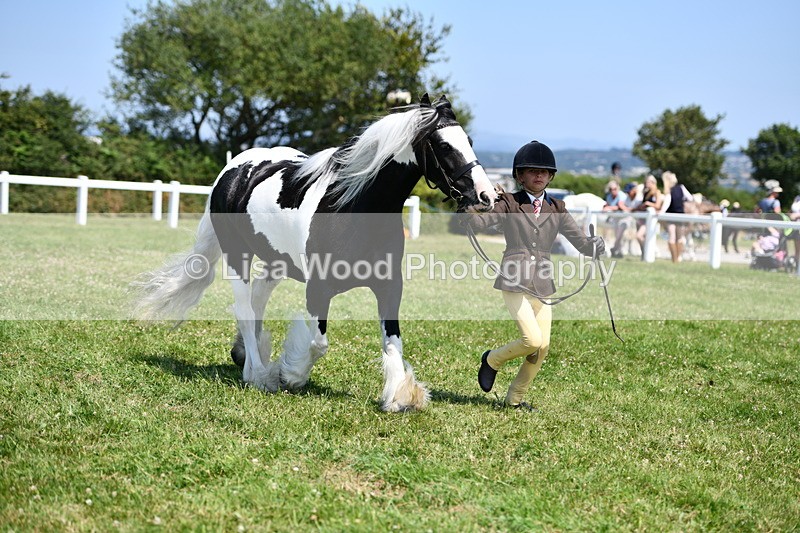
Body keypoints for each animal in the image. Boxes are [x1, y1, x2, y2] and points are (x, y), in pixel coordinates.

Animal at [133, 94, 497, 412]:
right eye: (444, 145)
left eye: (469, 140)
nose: (486, 195)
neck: (353, 207)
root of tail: (231, 171)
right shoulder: (318, 288)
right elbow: (318, 343)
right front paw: (290, 374)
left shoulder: (389, 286)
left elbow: (392, 341)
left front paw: (400, 396)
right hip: (238, 258)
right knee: (245, 309)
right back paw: (259, 374)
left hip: (277, 261)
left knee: (258, 299)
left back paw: (247, 357)